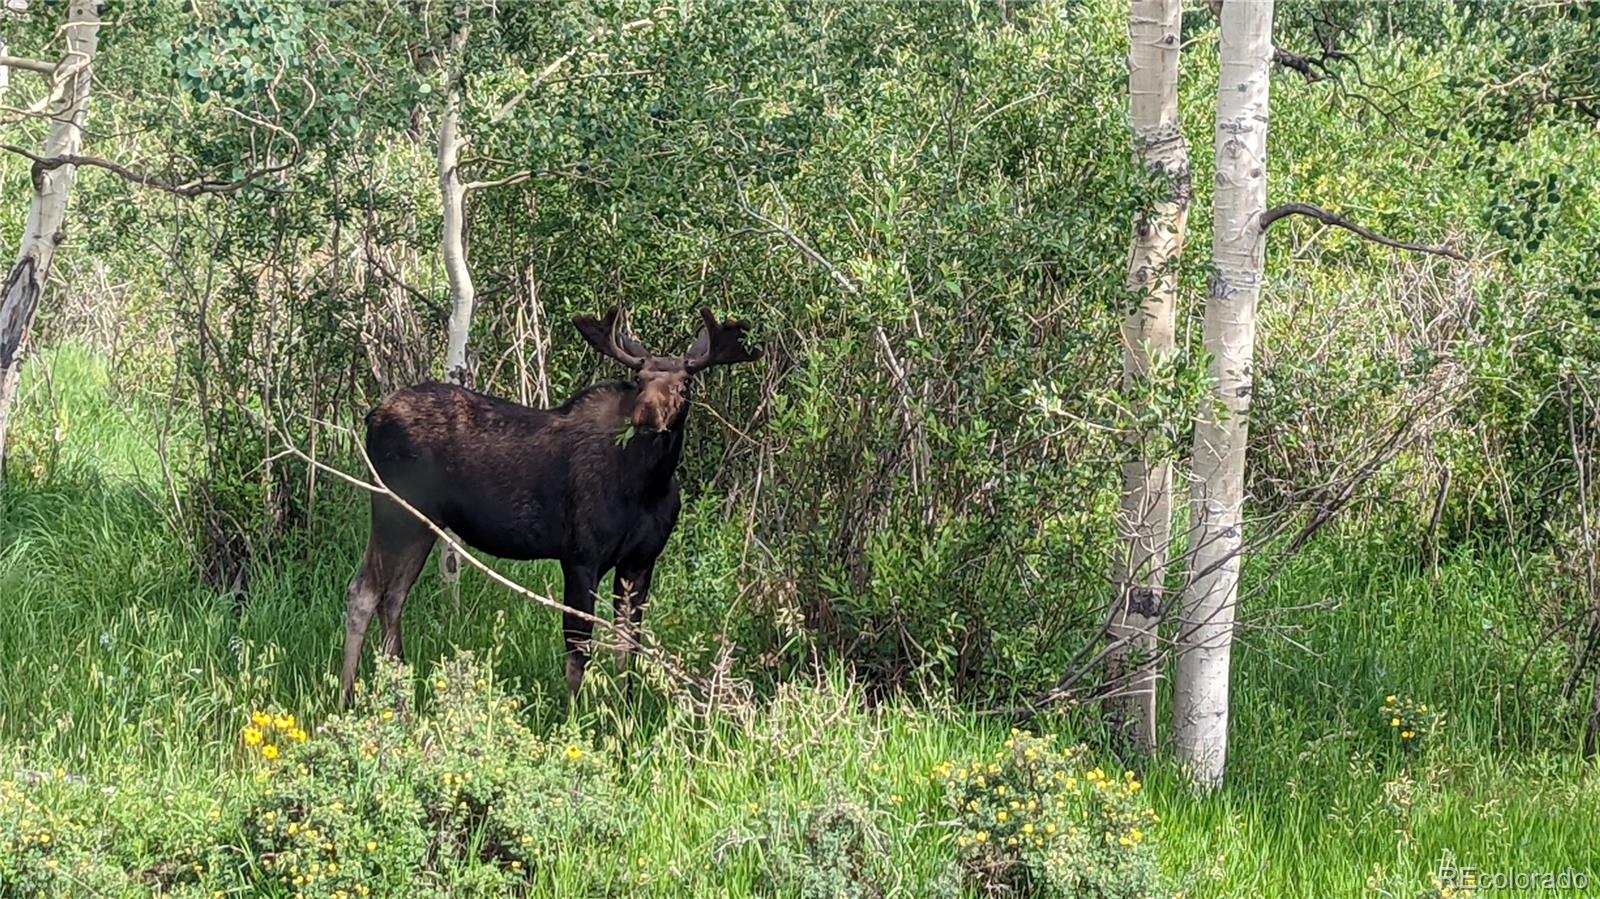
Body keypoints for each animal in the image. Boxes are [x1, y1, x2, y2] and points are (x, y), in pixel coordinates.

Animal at [339, 303, 761, 703]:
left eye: (685, 382)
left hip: (421, 522)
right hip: (395, 511)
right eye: (639, 380)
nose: (646, 415)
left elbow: (629, 647)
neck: (648, 485)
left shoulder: (641, 562)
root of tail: (370, 417)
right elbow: (579, 648)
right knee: (365, 591)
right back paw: (348, 696)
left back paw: (399, 690)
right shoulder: (580, 556)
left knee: (393, 596)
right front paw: (574, 716)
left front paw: (626, 712)